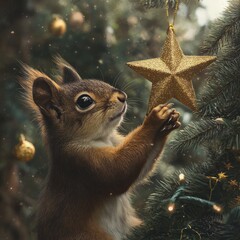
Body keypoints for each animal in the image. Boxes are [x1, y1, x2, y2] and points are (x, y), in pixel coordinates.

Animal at [21, 58, 180, 240]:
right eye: (84, 101)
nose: (123, 96)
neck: (102, 138)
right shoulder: (81, 162)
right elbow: (119, 171)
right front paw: (155, 119)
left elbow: (140, 172)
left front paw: (169, 122)